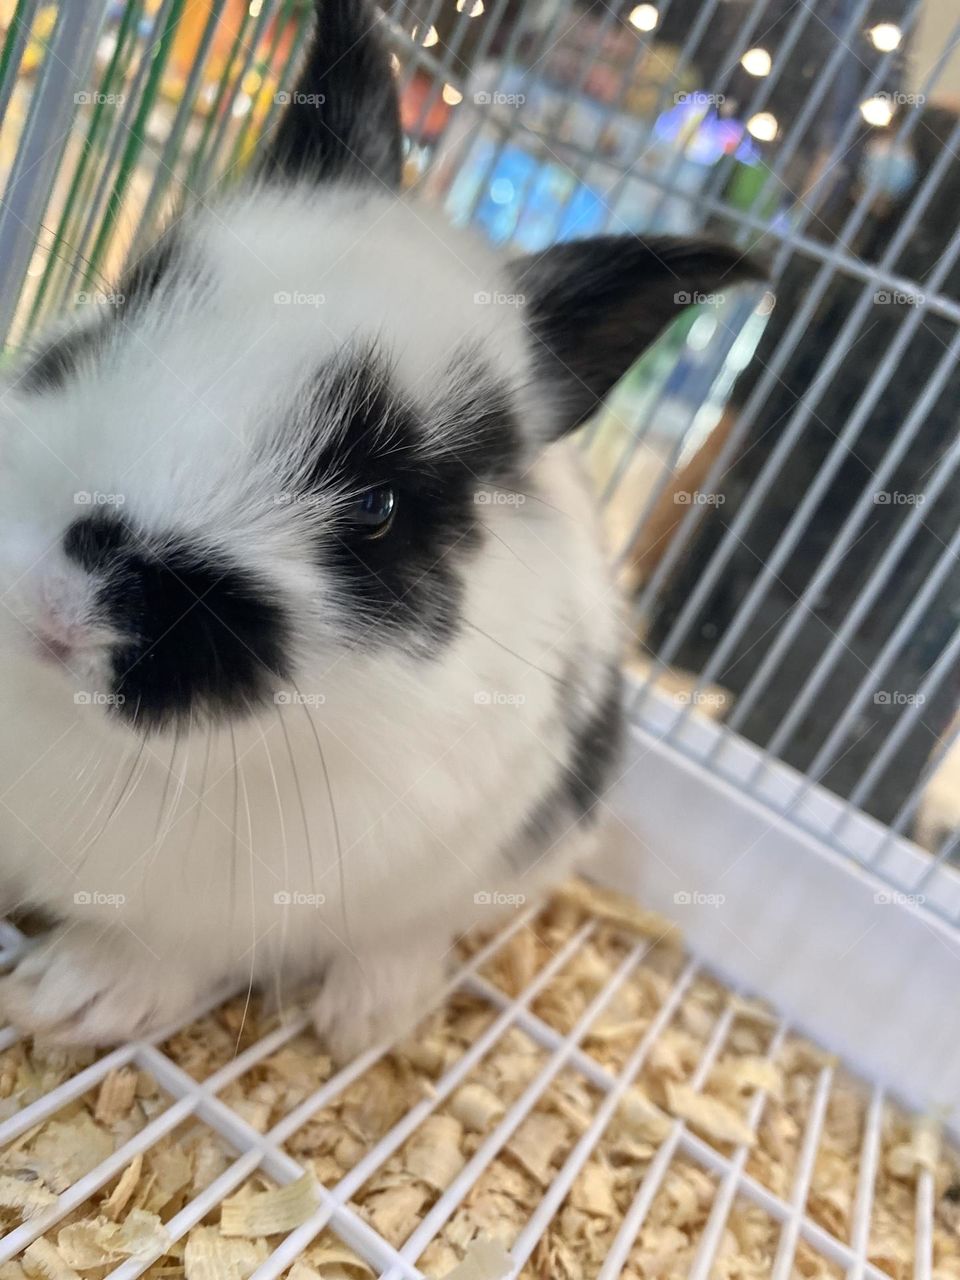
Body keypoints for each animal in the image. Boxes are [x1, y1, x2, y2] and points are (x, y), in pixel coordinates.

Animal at [0, 0, 759, 1059]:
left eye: (377, 509)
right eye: (117, 320)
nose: (59, 604)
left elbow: (169, 951)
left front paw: (64, 998)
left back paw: (369, 1015)